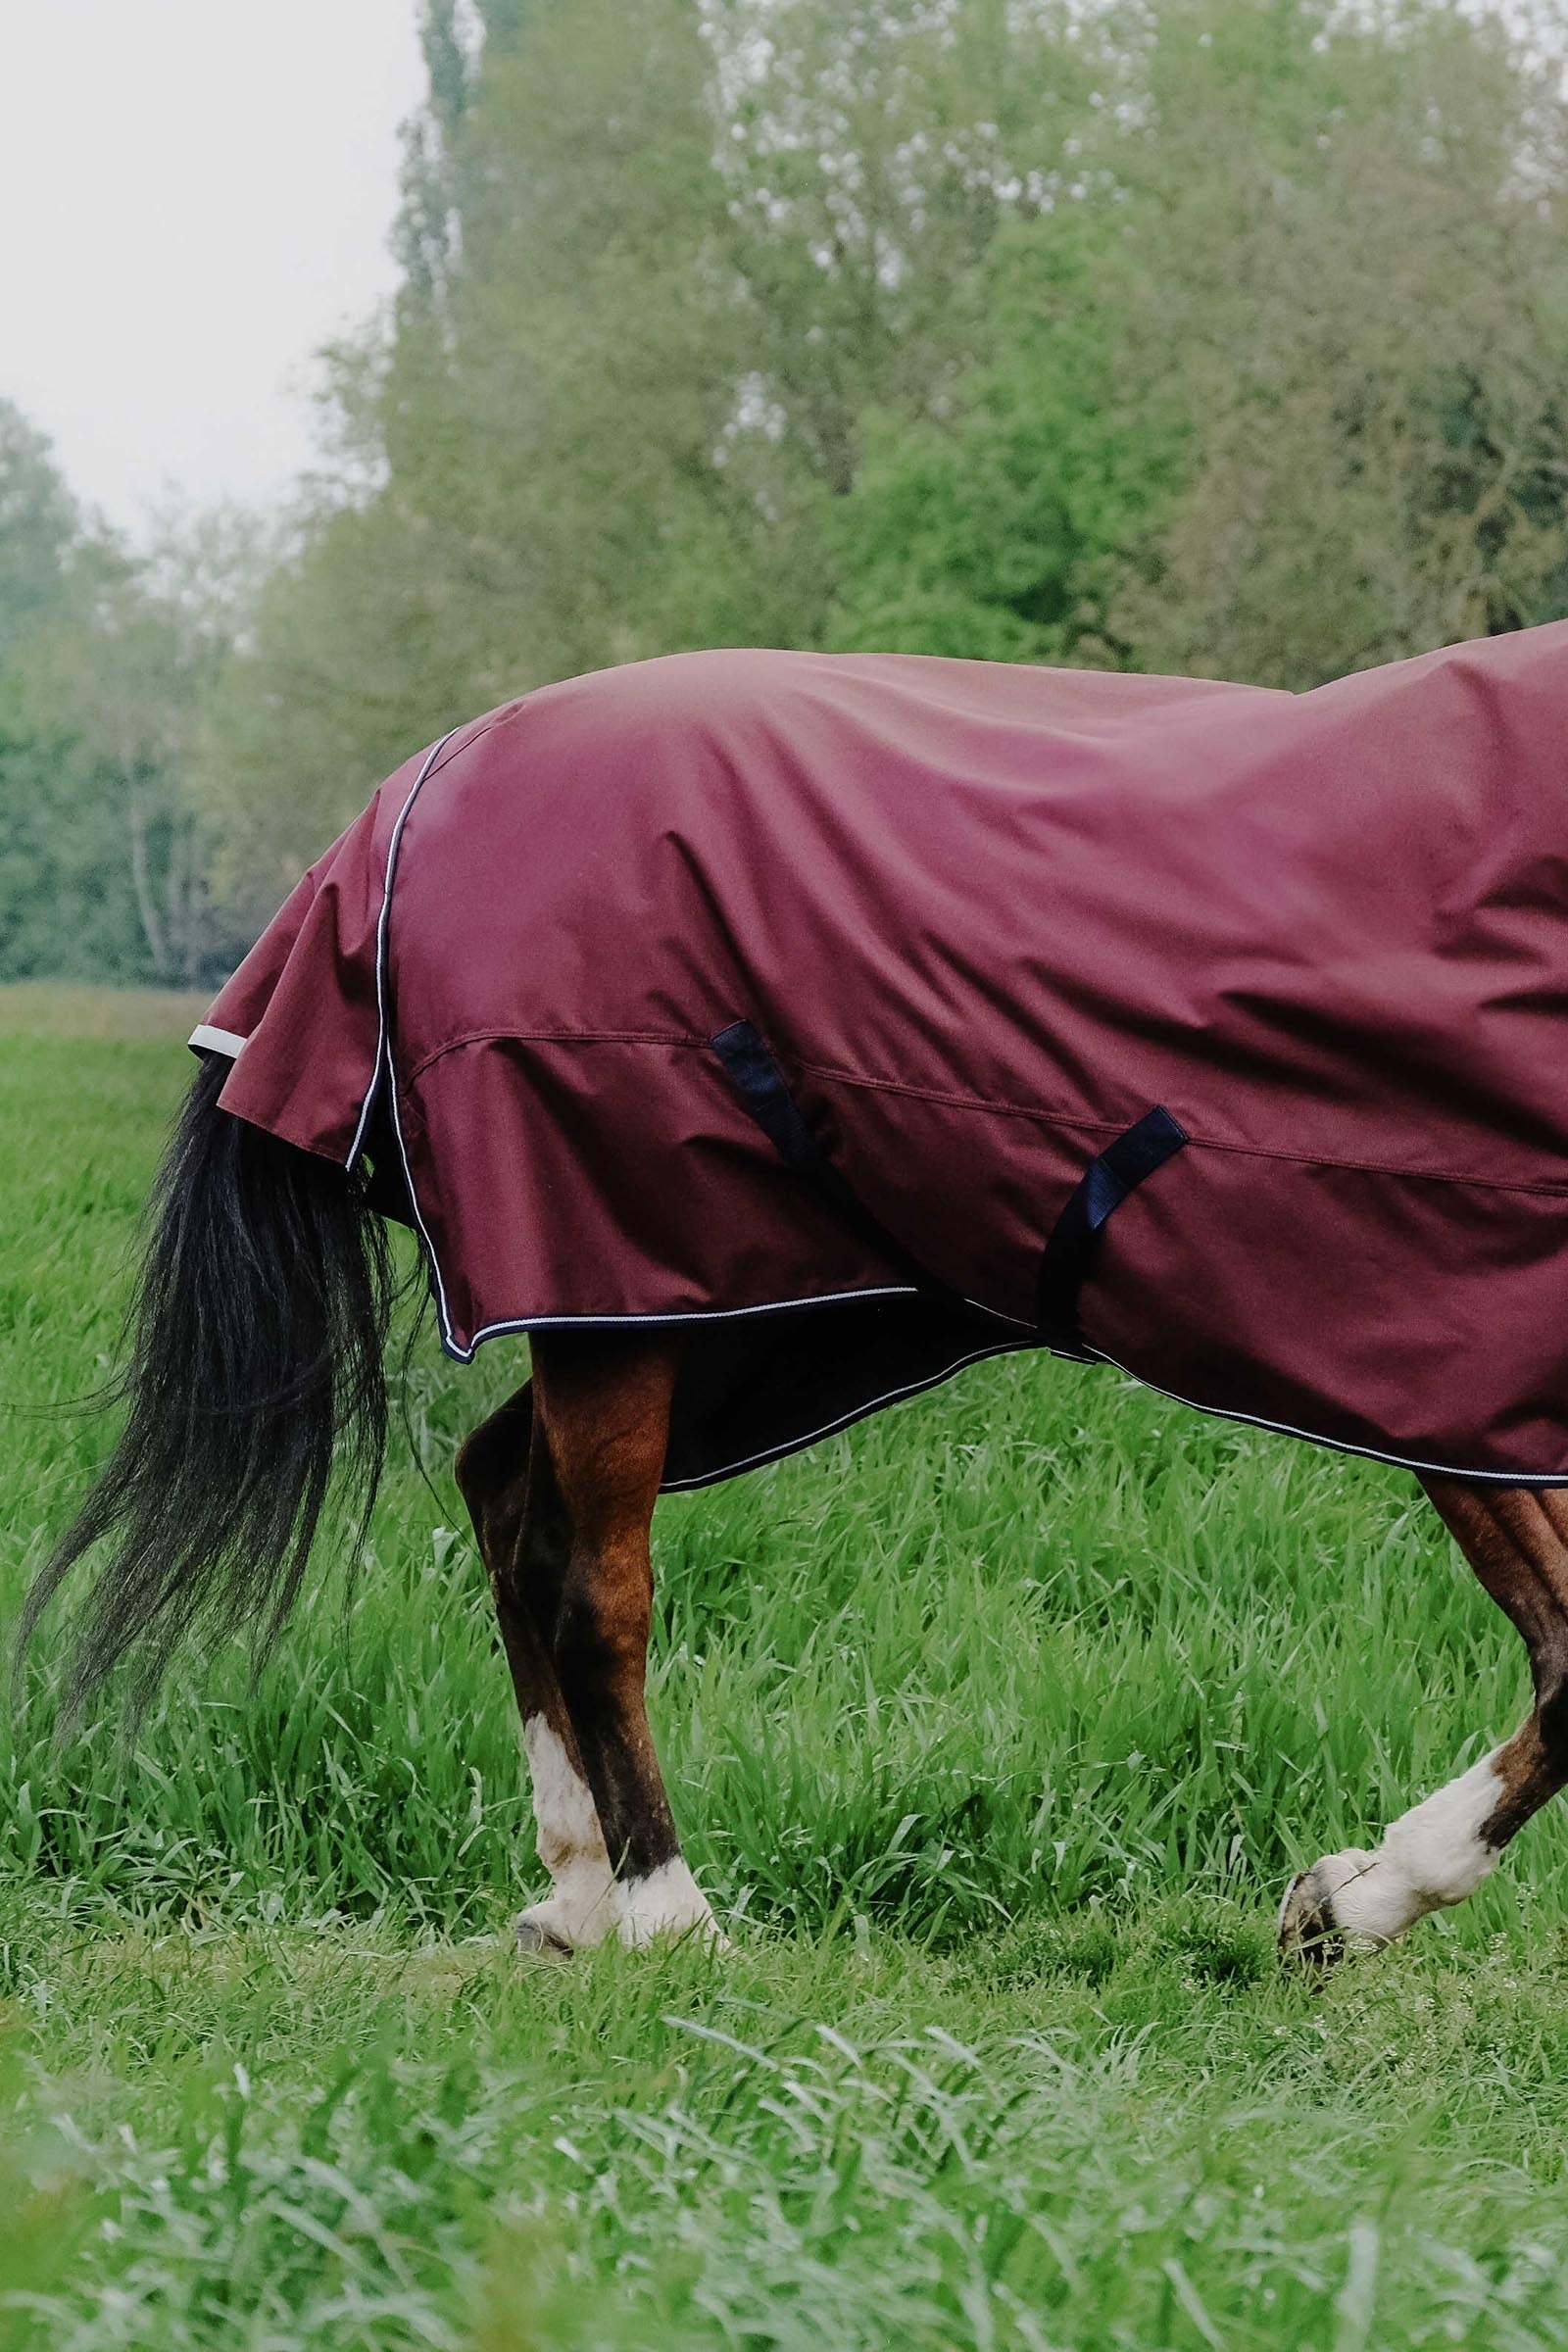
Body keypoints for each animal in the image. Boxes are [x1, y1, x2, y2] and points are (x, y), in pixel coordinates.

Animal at [23, 629, 1568, 1968]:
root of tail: (426, 782)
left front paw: (1346, 1897)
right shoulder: (1430, 1357)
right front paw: (1354, 1900)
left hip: (742, 1313)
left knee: (507, 1496)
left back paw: (576, 1897)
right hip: (628, 1283)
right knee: (592, 1583)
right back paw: (667, 1917)